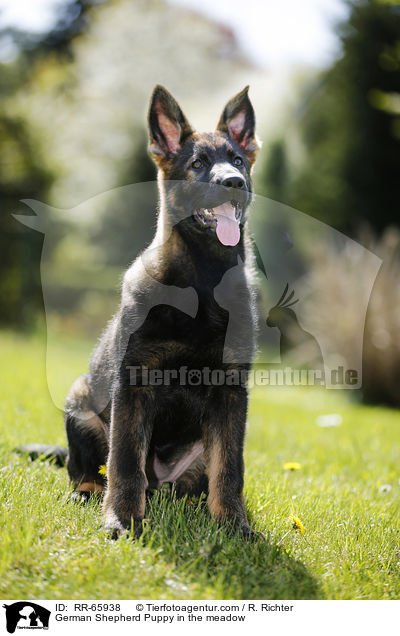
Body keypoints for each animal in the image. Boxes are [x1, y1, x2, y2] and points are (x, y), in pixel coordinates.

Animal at [64, 84, 260, 540]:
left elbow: (231, 469)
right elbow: (124, 463)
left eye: (238, 160)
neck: (203, 284)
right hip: (80, 405)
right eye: (198, 164)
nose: (235, 183)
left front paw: (233, 526)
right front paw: (122, 520)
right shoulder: (133, 385)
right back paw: (87, 493)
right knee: (90, 470)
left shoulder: (231, 392)